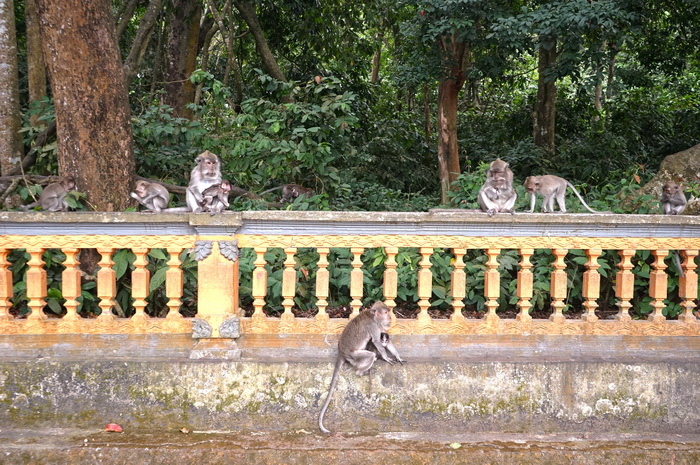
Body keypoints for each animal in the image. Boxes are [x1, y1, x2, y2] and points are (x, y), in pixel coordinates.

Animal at [318, 301, 397, 434]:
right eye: (386, 312)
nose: (390, 318)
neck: (372, 316)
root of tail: (341, 352)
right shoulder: (373, 326)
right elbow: (376, 341)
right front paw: (386, 358)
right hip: (354, 357)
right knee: (369, 356)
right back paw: (361, 372)